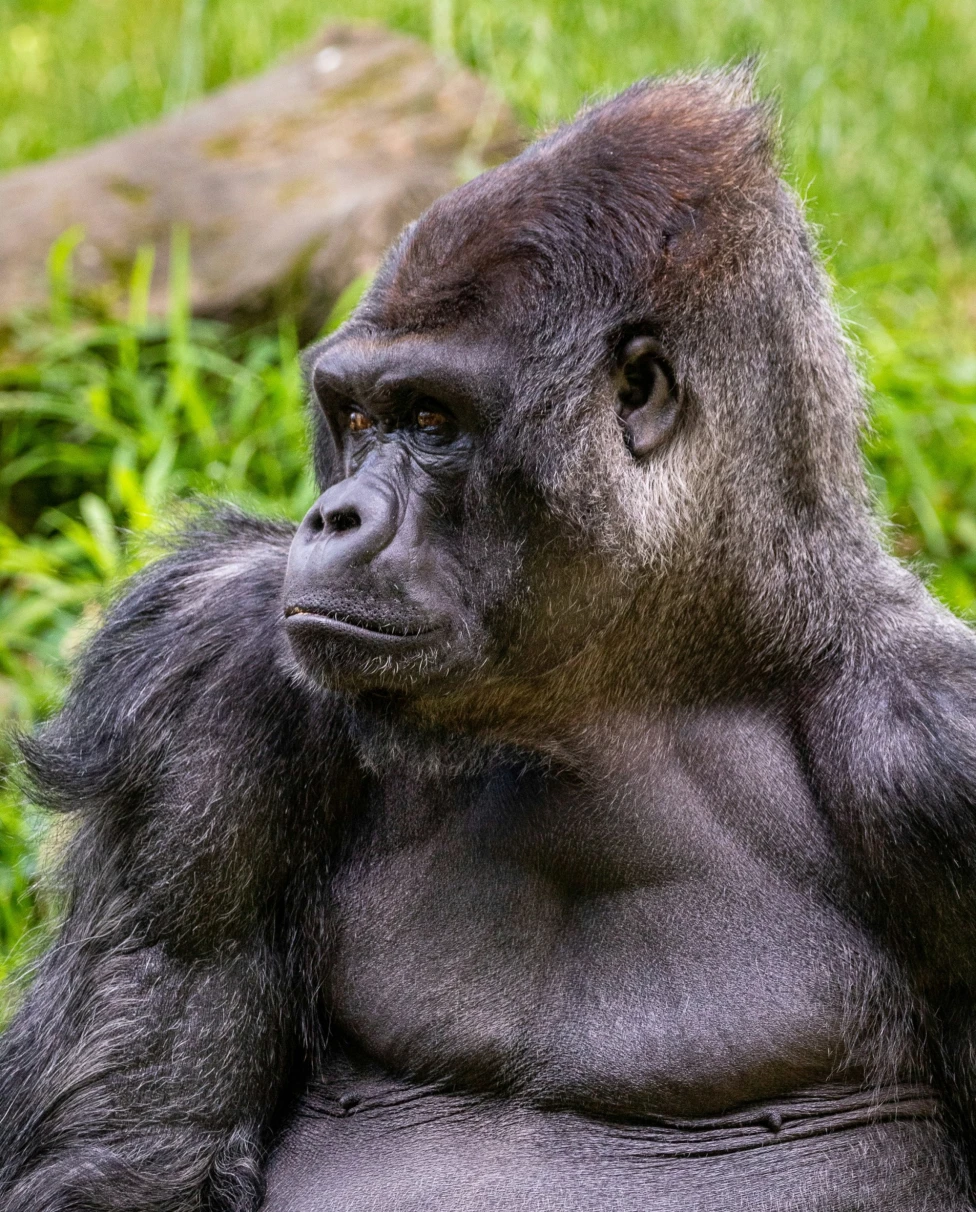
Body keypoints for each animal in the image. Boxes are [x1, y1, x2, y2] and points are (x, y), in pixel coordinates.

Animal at [1, 70, 975, 1212]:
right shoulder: (206, 679)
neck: (633, 689)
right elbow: (136, 1151)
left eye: (430, 420)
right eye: (355, 419)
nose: (331, 519)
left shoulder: (937, 745)